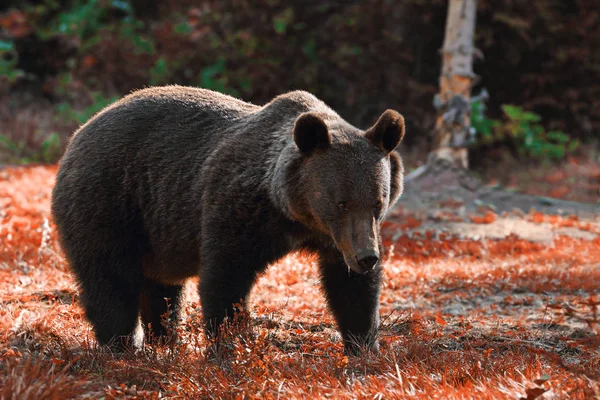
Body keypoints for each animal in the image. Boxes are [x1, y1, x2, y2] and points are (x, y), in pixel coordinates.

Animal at [51, 86, 406, 354]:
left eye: (378, 202)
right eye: (341, 202)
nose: (367, 257)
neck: (293, 213)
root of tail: (78, 134)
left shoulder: (337, 238)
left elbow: (351, 290)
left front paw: (363, 348)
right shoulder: (238, 209)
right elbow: (225, 279)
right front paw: (230, 347)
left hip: (157, 233)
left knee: (162, 289)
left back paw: (165, 340)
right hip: (110, 202)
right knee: (110, 279)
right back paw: (124, 346)